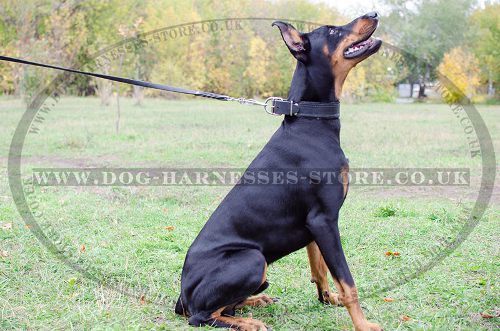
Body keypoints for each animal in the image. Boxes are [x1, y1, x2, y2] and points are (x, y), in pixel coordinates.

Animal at [176, 11, 382, 330]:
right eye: (333, 31)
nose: (373, 14)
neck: (310, 120)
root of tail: (182, 296)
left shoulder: (314, 226)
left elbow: (320, 270)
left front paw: (327, 298)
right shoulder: (324, 220)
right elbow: (348, 281)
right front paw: (364, 325)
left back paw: (255, 302)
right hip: (252, 259)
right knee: (201, 316)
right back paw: (250, 323)